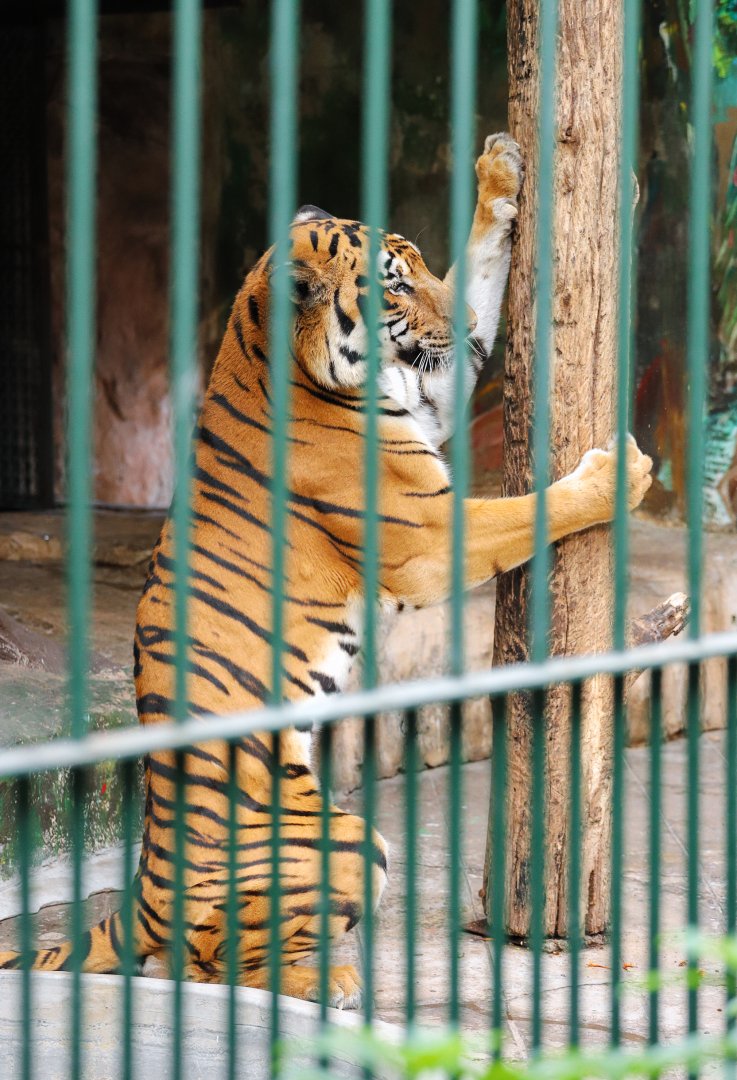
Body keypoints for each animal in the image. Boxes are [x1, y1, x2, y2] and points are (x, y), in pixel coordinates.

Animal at [0, 133, 652, 1009]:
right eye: (395, 284)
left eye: (420, 265)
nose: (463, 325)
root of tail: (140, 893)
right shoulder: (425, 534)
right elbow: (527, 511)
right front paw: (618, 475)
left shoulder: (435, 392)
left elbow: (478, 271)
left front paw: (500, 174)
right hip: (344, 838)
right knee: (205, 962)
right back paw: (331, 979)